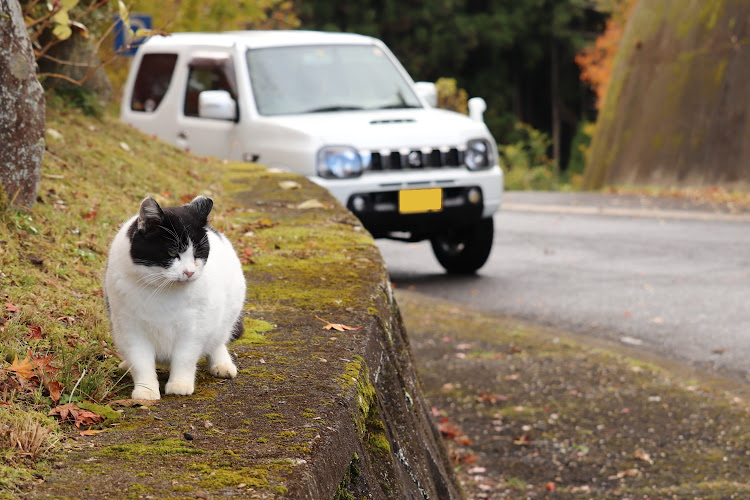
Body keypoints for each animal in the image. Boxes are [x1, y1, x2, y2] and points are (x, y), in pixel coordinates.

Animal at [104, 193, 247, 400]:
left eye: (198, 253)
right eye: (172, 252)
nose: (189, 272)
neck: (162, 290)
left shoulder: (193, 329)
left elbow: (184, 358)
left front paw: (179, 385)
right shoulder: (131, 329)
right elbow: (141, 361)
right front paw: (146, 391)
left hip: (227, 317)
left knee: (218, 341)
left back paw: (222, 365)